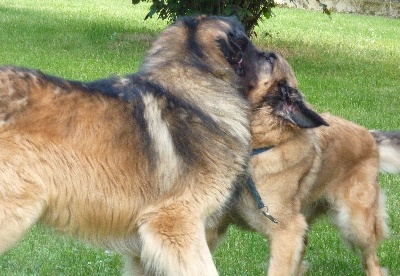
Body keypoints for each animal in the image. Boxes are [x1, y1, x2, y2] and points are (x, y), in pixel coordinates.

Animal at [209, 51, 396, 274]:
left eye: (269, 59)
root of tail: (369, 135)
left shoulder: (287, 230)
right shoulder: (212, 225)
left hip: (355, 223)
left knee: (371, 258)